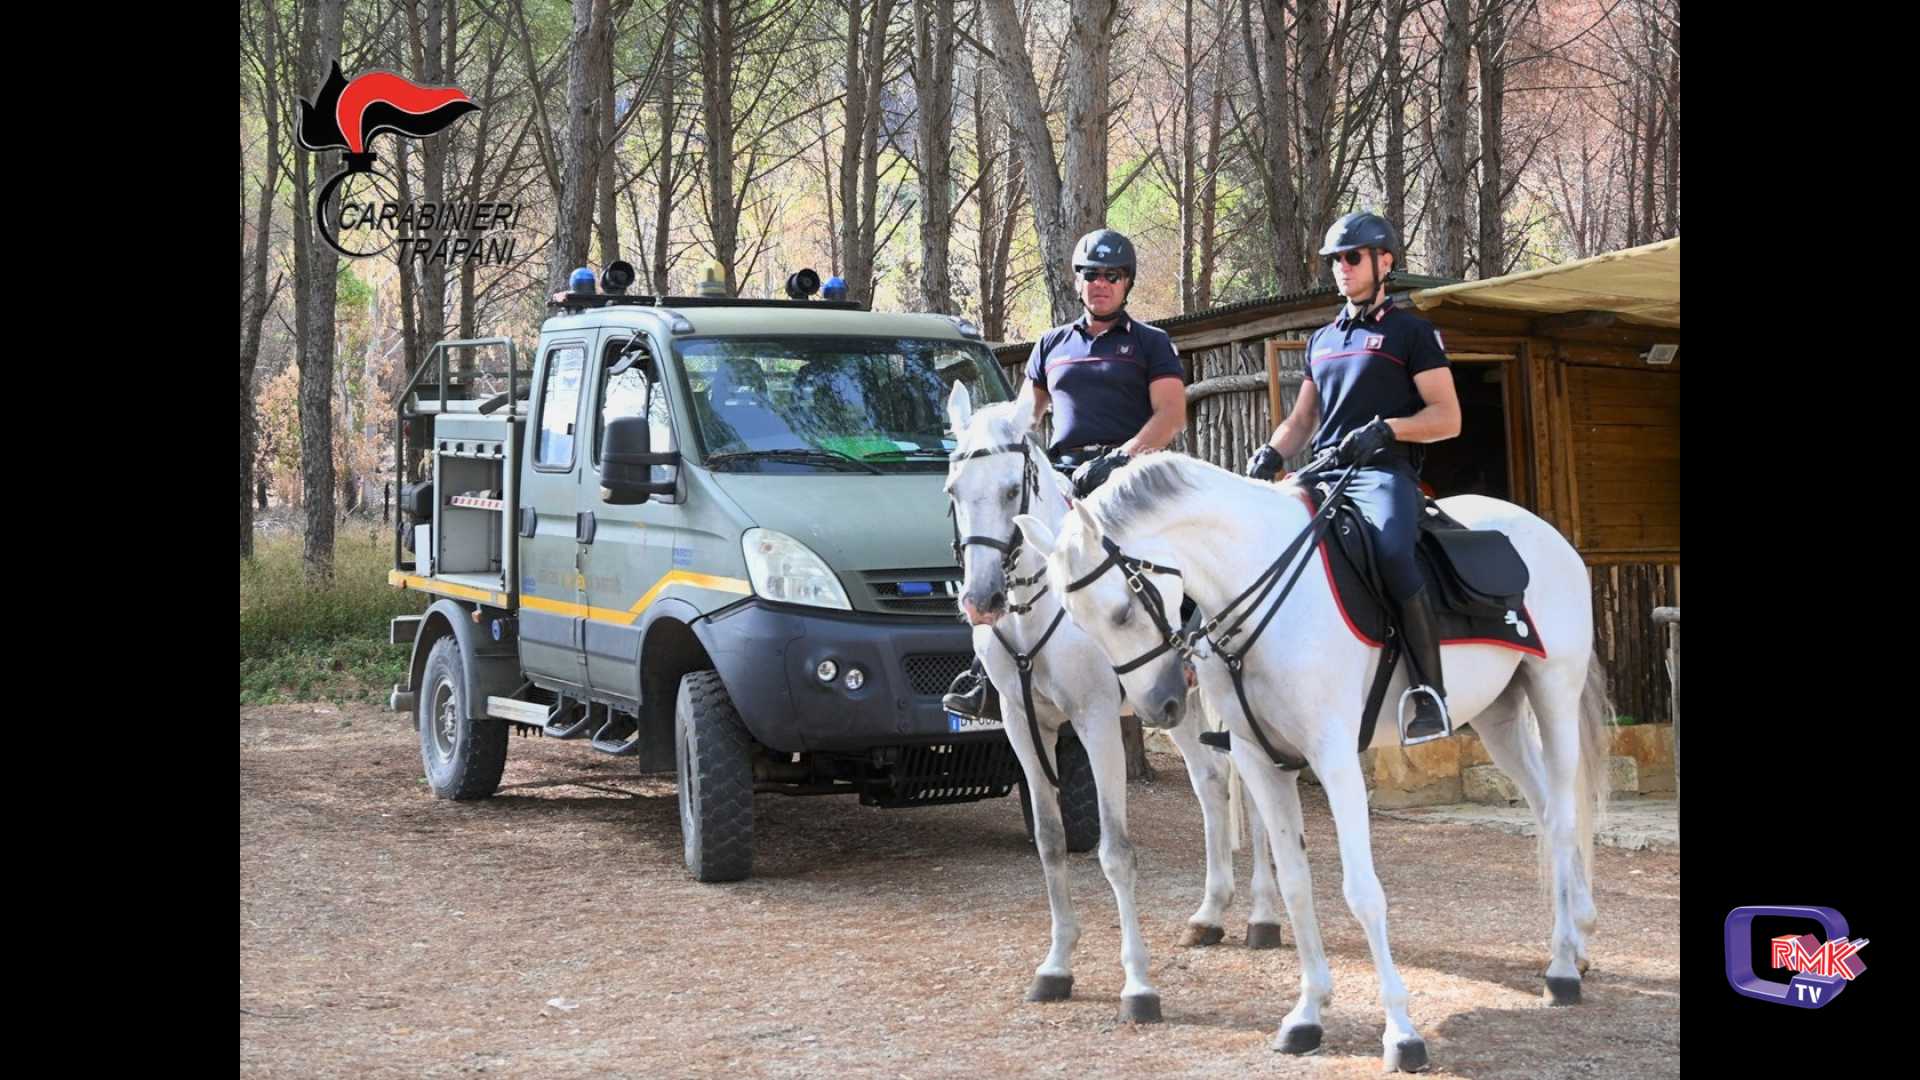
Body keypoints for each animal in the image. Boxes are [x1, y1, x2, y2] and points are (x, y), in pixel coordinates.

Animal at [943, 384, 1285, 1023]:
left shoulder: (1096, 722)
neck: (1038, 610)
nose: (981, 600)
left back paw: (1263, 916)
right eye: (954, 491)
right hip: (1178, 707)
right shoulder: (1022, 727)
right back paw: (1210, 915)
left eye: (1009, 490)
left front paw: (1138, 985)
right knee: (1210, 782)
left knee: (1251, 794)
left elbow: (1115, 853)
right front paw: (1056, 967)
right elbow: (1051, 843)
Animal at [1011, 451, 1614, 1072]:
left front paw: (1402, 1034)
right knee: (1545, 811)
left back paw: (1562, 970)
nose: (1161, 705)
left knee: (1563, 820)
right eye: (1078, 623)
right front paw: (1306, 1015)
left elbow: (1362, 892)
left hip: (1553, 693)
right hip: (1498, 717)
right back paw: (1576, 944)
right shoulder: (1260, 760)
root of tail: (1548, 535)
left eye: (1123, 610)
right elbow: (1296, 883)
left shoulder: (1335, 760)